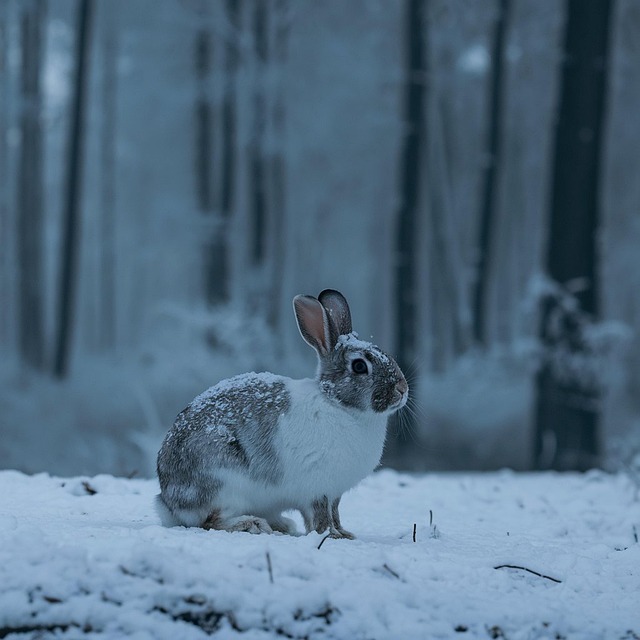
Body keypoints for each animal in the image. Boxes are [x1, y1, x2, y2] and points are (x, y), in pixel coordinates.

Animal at [156, 289, 408, 538]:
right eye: (359, 366)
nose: (402, 389)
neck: (340, 406)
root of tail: (169, 503)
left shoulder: (335, 493)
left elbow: (335, 512)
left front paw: (344, 533)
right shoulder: (317, 488)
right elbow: (320, 515)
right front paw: (329, 535)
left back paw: (281, 524)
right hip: (224, 482)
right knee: (211, 521)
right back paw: (253, 524)